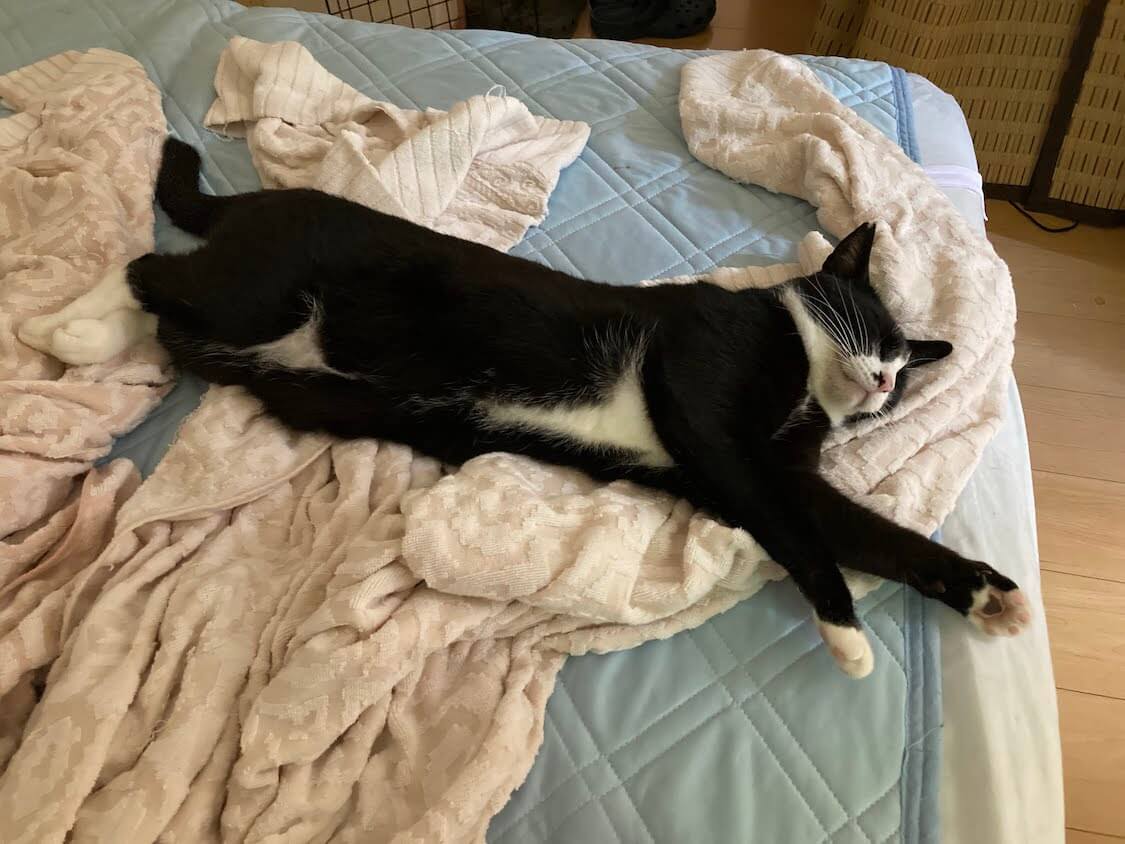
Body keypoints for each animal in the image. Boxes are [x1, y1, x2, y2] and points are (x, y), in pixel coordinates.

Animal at [125, 138, 1030, 676]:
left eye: (903, 372)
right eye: (873, 333)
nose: (879, 383)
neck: (803, 385)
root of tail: (256, 200)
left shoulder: (777, 470)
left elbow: (867, 532)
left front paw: (982, 593)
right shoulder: (703, 396)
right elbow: (791, 528)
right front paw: (844, 631)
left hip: (255, 352)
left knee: (174, 324)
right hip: (258, 293)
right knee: (145, 270)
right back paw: (93, 317)